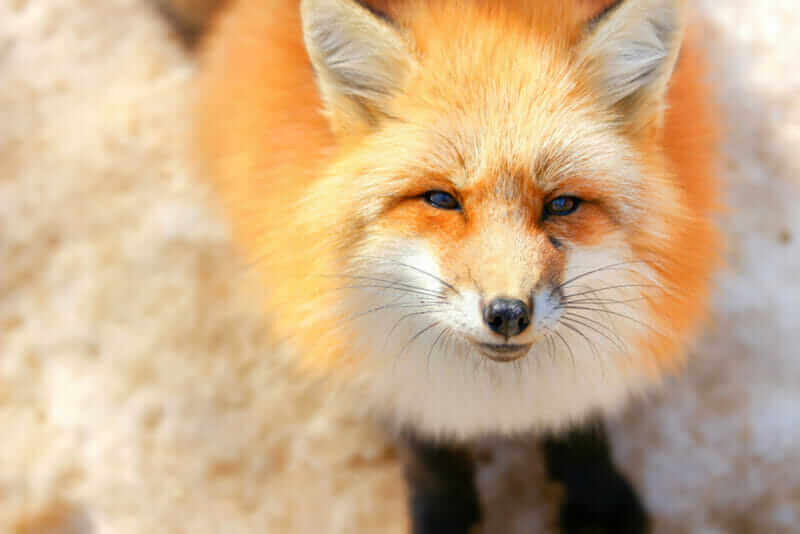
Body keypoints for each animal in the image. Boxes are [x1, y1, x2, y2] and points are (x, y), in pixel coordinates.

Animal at [161, 0, 720, 532]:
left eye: (561, 204)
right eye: (441, 200)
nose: (508, 314)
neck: (498, 394)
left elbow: (581, 424)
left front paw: (597, 502)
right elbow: (430, 460)